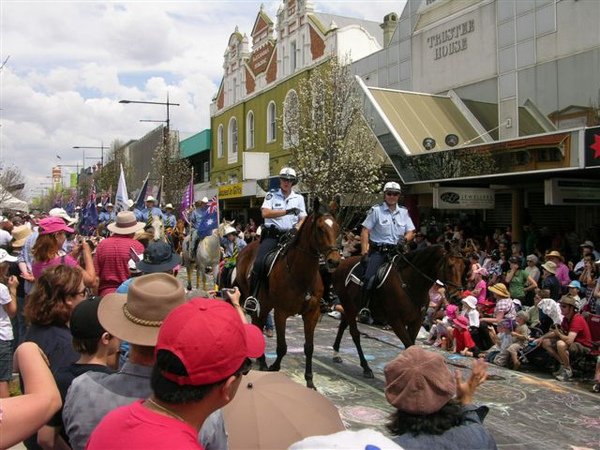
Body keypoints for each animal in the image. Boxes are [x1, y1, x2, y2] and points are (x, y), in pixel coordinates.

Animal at [236, 199, 342, 388]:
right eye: (320, 228)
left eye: (337, 228)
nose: (334, 261)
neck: (301, 275)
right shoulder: (281, 313)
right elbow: (282, 346)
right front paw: (274, 368)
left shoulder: (312, 314)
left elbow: (309, 347)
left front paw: (310, 380)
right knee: (257, 323)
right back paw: (263, 362)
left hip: (265, 304)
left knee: (259, 323)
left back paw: (261, 360)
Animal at [330, 244, 466, 378]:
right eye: (450, 266)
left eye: (463, 267)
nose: (457, 297)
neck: (411, 283)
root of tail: (342, 263)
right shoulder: (396, 321)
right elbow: (409, 346)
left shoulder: (416, 322)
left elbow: (411, 346)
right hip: (349, 305)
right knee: (355, 334)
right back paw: (365, 367)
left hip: (352, 307)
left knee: (343, 325)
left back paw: (336, 353)